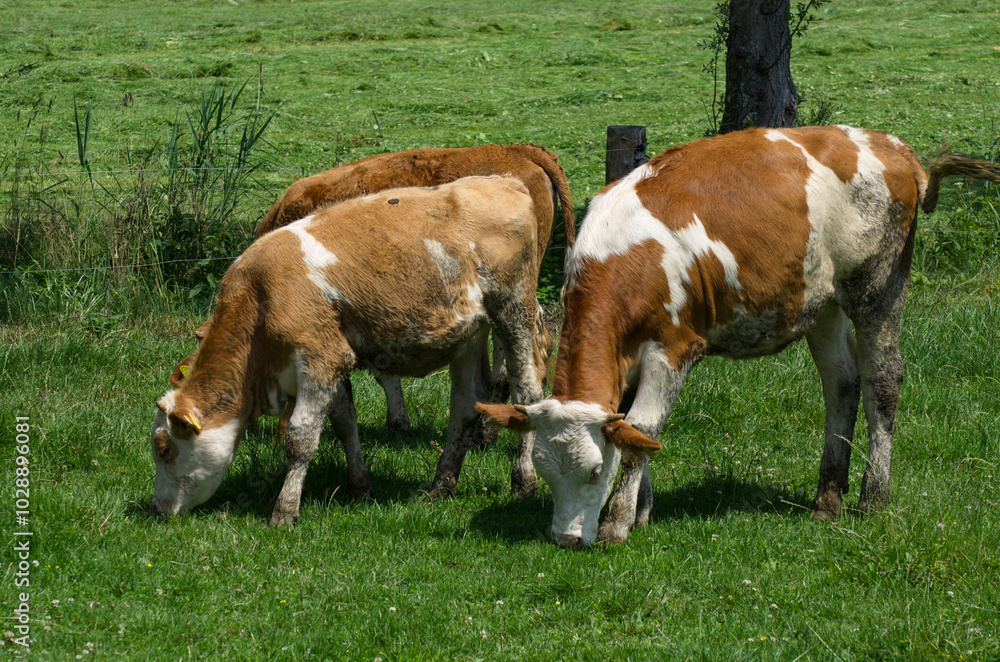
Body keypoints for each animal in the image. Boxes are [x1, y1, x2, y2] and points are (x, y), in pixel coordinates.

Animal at [151, 176, 547, 525]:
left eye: (163, 449)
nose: (159, 509)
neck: (260, 296)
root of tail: (503, 180)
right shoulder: (332, 358)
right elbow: (343, 424)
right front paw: (360, 487)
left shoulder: (319, 358)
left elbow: (300, 439)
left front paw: (284, 510)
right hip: (469, 334)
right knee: (464, 406)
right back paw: (441, 485)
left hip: (513, 309)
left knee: (527, 390)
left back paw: (523, 478)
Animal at [478, 125, 1000, 548]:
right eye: (545, 471)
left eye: (592, 471)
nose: (564, 539)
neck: (626, 255)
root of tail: (888, 144)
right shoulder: (625, 358)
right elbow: (632, 429)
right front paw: (643, 510)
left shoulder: (674, 349)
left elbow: (643, 428)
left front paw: (618, 523)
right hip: (821, 302)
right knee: (842, 384)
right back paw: (828, 497)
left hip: (878, 287)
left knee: (883, 380)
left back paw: (874, 496)